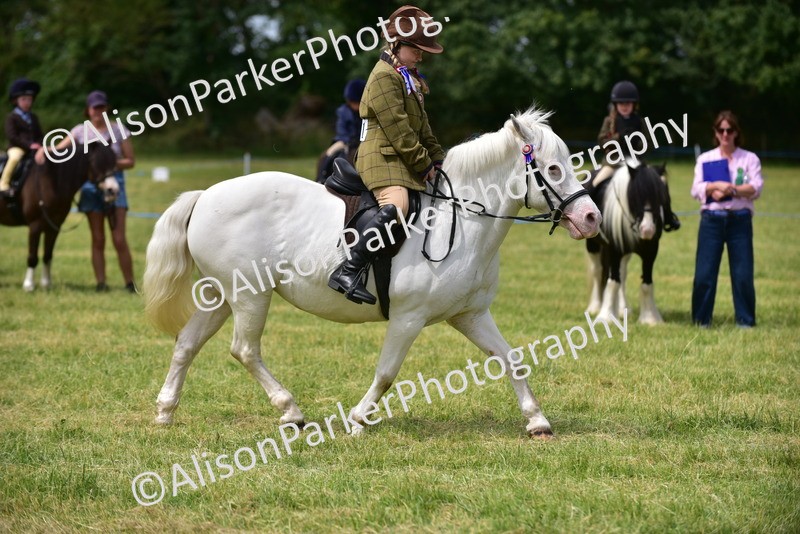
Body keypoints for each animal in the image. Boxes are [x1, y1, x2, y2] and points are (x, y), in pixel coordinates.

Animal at [0, 144, 117, 291]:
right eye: (97, 162)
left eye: (114, 162)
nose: (113, 191)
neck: (51, 180)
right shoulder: (35, 226)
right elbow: (33, 256)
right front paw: (28, 285)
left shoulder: (54, 226)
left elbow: (47, 255)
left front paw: (46, 284)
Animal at [142, 107, 601, 438]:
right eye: (554, 169)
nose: (591, 217)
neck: (462, 222)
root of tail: (206, 195)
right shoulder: (408, 318)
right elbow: (386, 373)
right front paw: (358, 419)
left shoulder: (470, 315)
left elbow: (511, 359)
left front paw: (537, 421)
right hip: (250, 295)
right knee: (244, 350)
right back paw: (291, 411)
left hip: (221, 295)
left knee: (187, 344)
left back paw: (165, 412)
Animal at [584, 162, 677, 324]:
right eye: (634, 197)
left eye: (662, 197)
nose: (647, 230)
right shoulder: (614, 250)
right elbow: (613, 282)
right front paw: (606, 316)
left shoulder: (651, 251)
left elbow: (646, 284)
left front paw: (650, 319)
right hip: (593, 246)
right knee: (597, 271)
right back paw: (595, 307)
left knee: (622, 274)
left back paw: (622, 309)